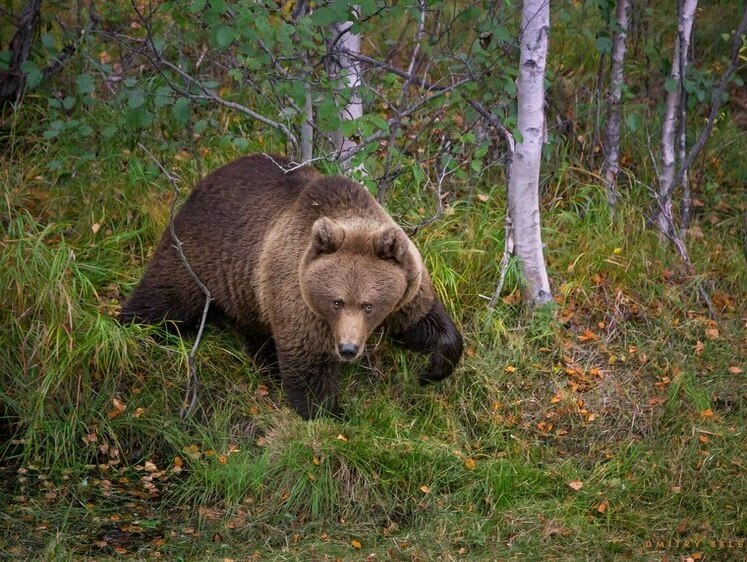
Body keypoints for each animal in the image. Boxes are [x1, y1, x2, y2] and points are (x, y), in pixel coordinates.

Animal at [121, 152, 462, 416]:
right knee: (165, 298)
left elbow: (424, 323)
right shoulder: (299, 293)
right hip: (198, 254)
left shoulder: (406, 288)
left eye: (369, 304)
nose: (348, 348)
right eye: (337, 301)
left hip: (249, 290)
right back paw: (131, 328)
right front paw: (328, 413)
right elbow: (307, 358)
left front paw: (432, 370)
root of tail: (207, 178)